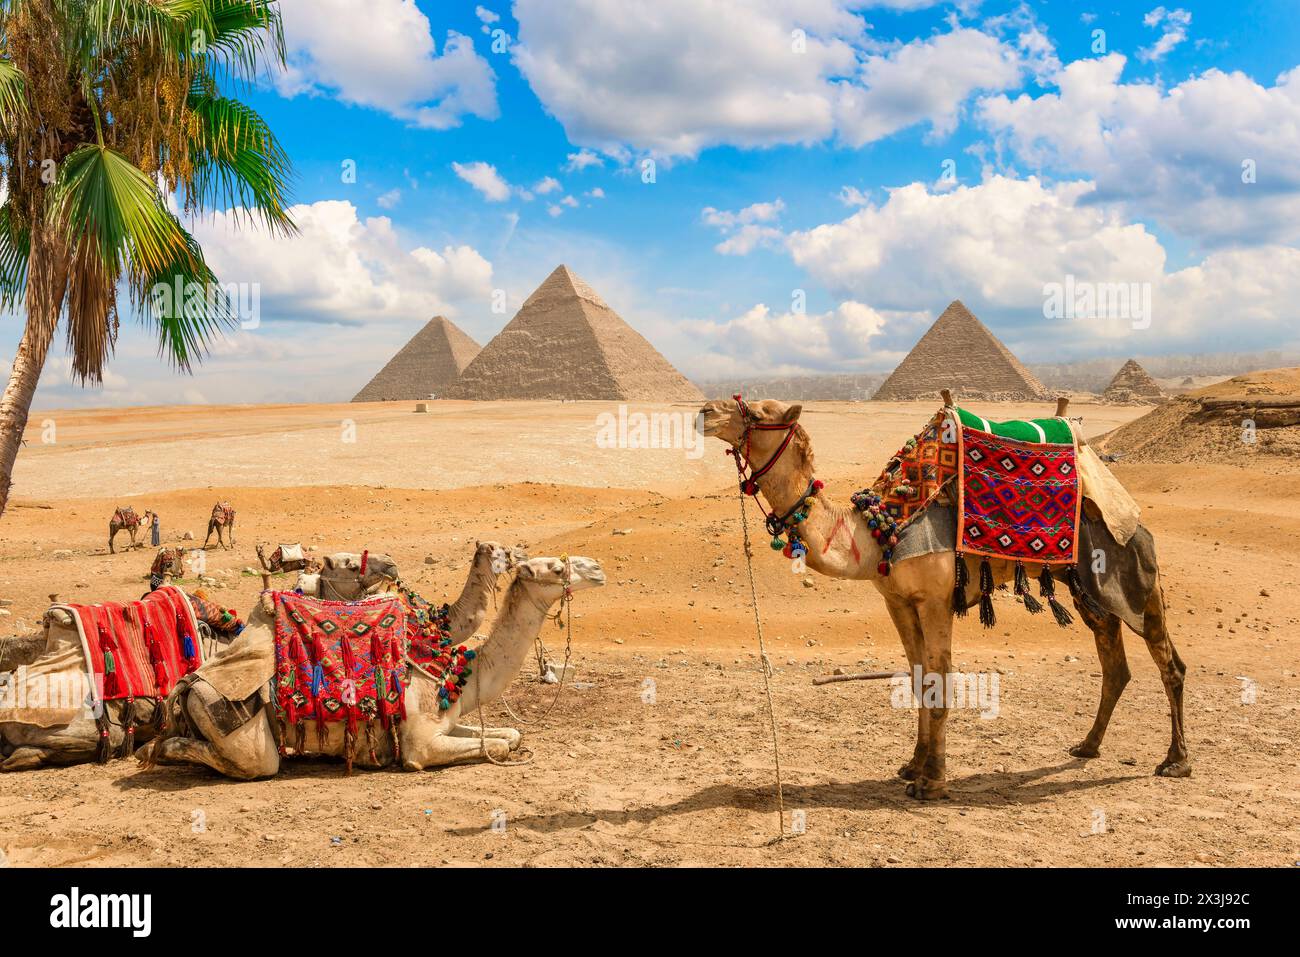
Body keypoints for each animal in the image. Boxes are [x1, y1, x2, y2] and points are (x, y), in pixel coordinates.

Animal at [142, 553, 608, 780]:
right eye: (557, 568)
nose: (599, 569)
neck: (456, 675)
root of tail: (187, 684)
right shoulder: (421, 743)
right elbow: (494, 746)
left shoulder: (444, 720)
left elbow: (509, 735)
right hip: (236, 724)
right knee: (254, 762)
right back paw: (159, 750)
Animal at [702, 395, 1190, 800]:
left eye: (759, 412)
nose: (705, 412)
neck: (878, 531)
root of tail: (1130, 510)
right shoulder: (898, 601)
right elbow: (918, 678)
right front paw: (912, 766)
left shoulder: (937, 600)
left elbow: (939, 678)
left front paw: (932, 782)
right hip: (1088, 589)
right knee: (1114, 662)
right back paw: (1087, 746)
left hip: (1132, 573)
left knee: (1168, 661)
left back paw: (1176, 761)